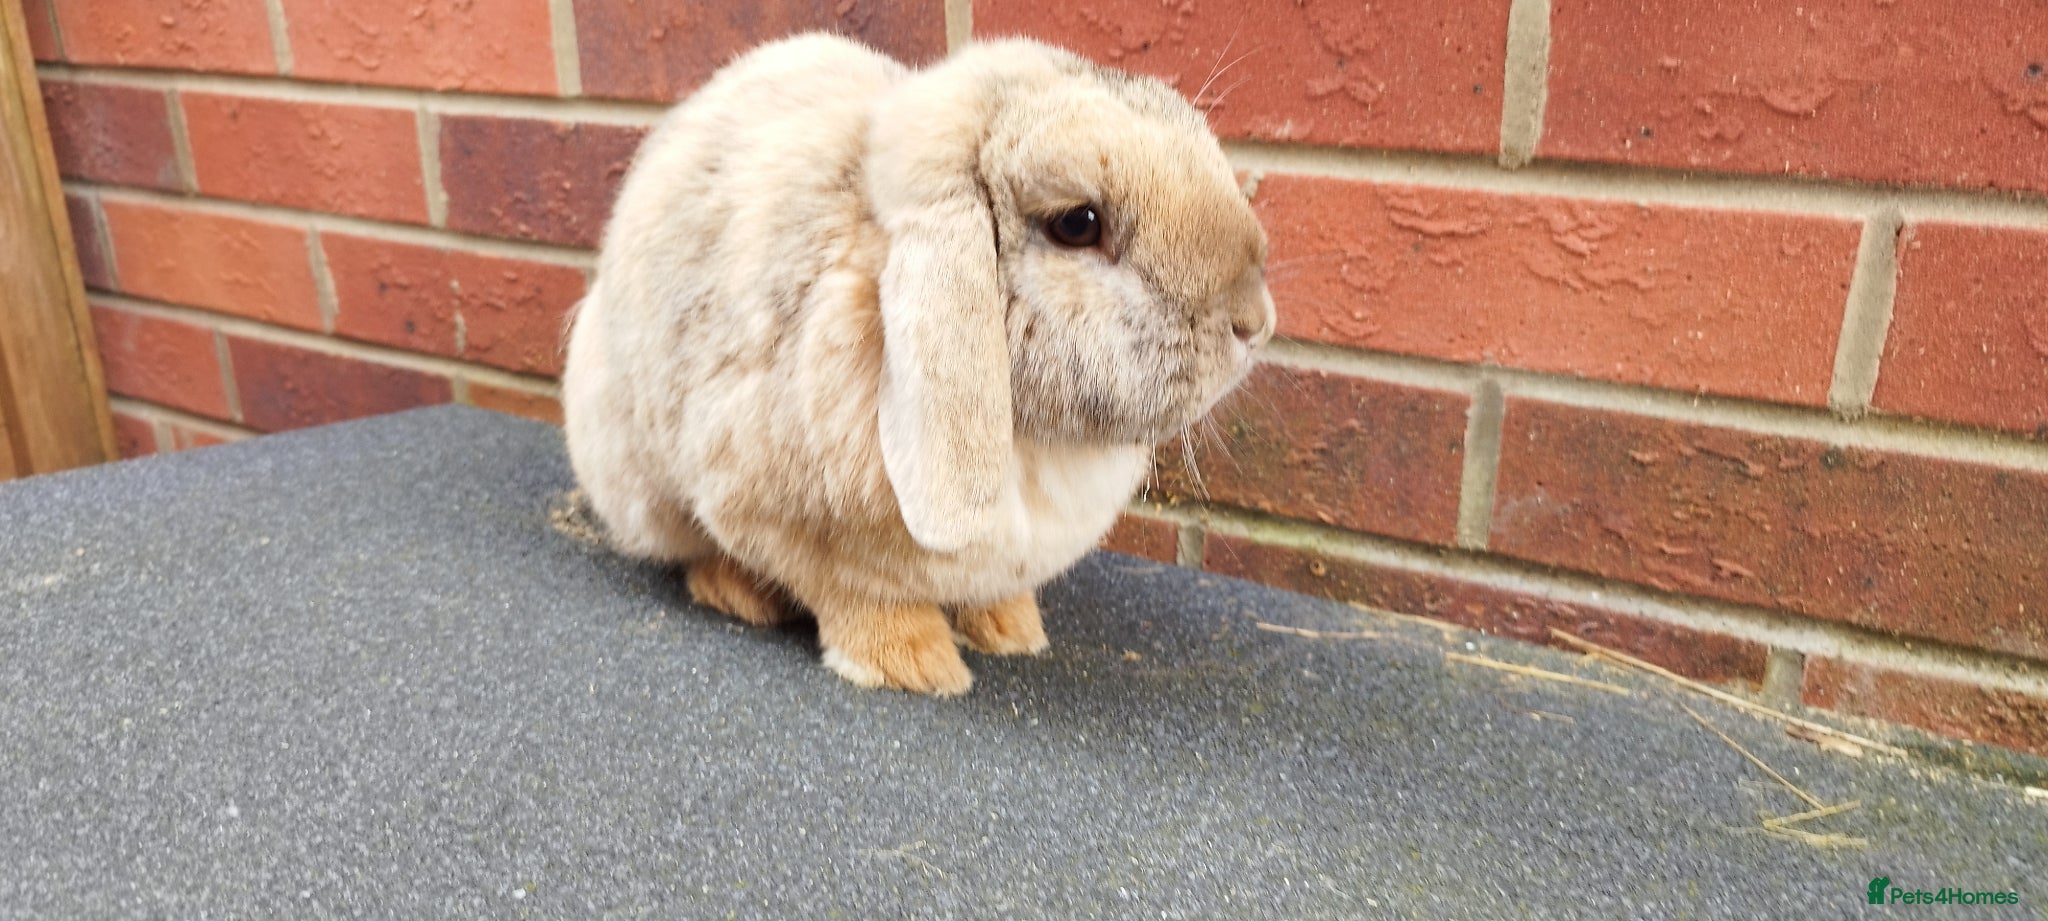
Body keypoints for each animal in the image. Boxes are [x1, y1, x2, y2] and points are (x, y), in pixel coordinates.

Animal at [561, 32, 1275, 695]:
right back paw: (741, 594)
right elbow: (851, 595)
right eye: (1077, 223)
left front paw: (1012, 630)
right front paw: (915, 663)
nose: (1255, 322)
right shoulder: (767, 512)